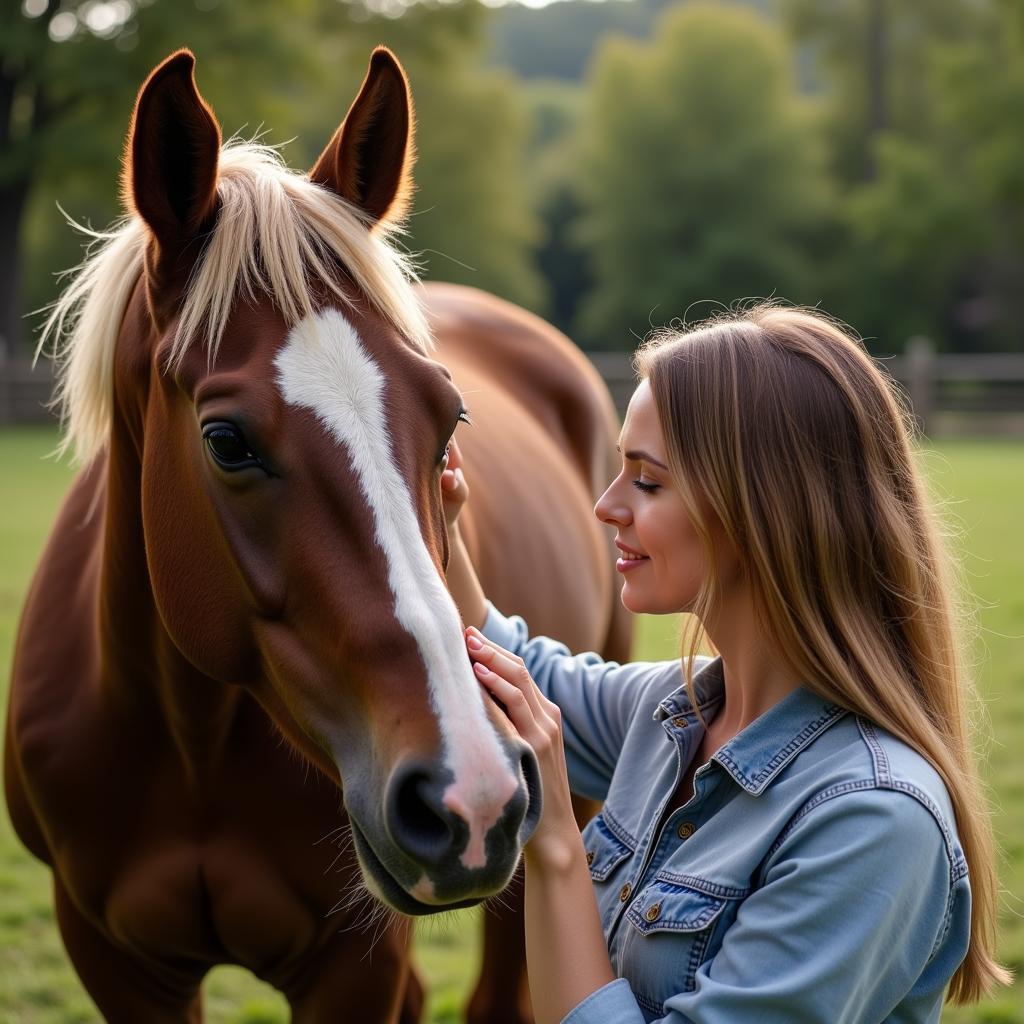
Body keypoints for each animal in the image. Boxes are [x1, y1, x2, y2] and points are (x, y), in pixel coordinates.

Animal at [4, 48, 626, 1024]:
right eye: (227, 441)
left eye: (451, 418)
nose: (472, 794)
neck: (191, 749)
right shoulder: (115, 960)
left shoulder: (354, 970)